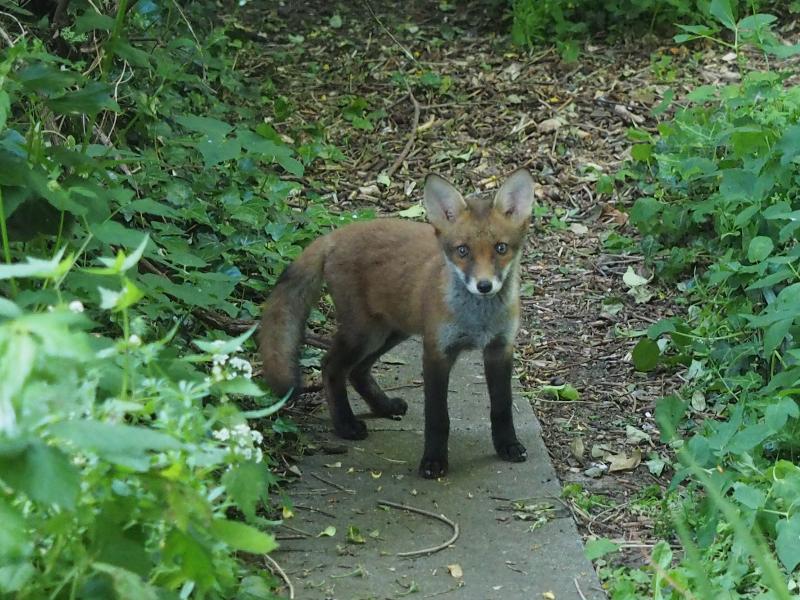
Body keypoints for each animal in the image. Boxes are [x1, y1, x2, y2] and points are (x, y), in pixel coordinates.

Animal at [259, 168, 535, 478]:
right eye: (463, 251)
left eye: (501, 248)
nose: (484, 286)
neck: (478, 321)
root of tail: (336, 233)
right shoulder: (436, 351)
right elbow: (437, 417)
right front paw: (433, 460)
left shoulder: (500, 348)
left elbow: (502, 407)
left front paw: (507, 445)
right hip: (363, 333)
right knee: (331, 366)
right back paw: (345, 425)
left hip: (391, 332)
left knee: (357, 371)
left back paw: (384, 406)